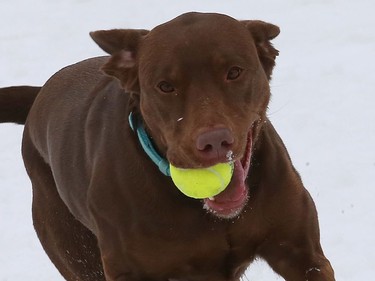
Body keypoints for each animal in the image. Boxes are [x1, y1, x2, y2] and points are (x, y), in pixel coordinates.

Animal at [0, 12, 334, 278]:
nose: (214, 141)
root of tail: (40, 94)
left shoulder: (301, 252)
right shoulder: (130, 270)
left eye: (234, 72)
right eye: (165, 86)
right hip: (74, 248)